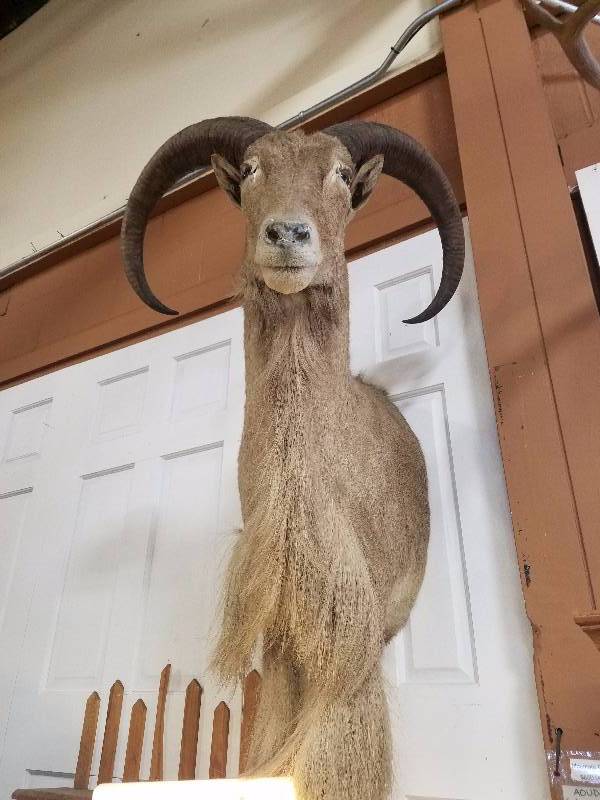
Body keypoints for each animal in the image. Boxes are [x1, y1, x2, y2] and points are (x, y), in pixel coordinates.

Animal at [121, 117, 464, 800]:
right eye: (253, 169)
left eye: (340, 173)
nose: (287, 235)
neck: (303, 487)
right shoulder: (282, 632)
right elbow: (277, 725)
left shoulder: (359, 627)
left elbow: (338, 738)